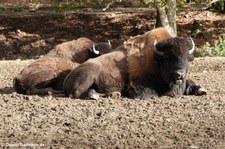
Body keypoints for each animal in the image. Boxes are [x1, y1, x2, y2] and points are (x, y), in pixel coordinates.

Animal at [63, 27, 207, 100]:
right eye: (168, 58)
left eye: (186, 58)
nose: (179, 74)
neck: (155, 60)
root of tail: (67, 78)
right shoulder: (137, 85)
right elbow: (151, 93)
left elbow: (191, 83)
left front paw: (202, 90)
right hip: (89, 75)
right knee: (77, 93)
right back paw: (104, 95)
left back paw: (113, 94)